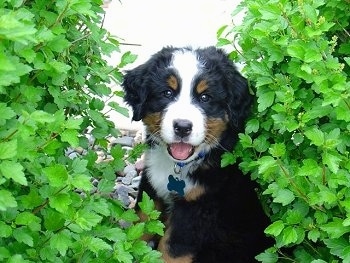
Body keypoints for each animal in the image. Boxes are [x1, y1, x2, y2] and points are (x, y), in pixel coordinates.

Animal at [121, 46, 272, 262]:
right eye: (167, 93)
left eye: (205, 97)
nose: (183, 127)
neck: (177, 166)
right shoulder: (151, 184)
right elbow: (141, 221)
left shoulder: (198, 207)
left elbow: (172, 249)